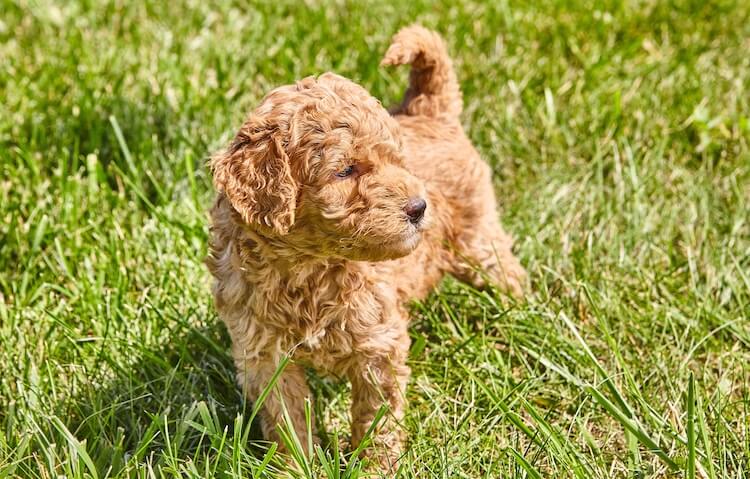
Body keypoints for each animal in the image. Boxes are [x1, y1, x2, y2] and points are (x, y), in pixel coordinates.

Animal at [204, 25, 524, 468]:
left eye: (396, 161)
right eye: (345, 170)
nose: (419, 206)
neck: (306, 266)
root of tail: (430, 111)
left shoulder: (379, 344)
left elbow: (378, 414)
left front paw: (376, 465)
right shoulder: (264, 353)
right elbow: (285, 418)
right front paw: (296, 466)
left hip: (478, 240)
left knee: (508, 274)